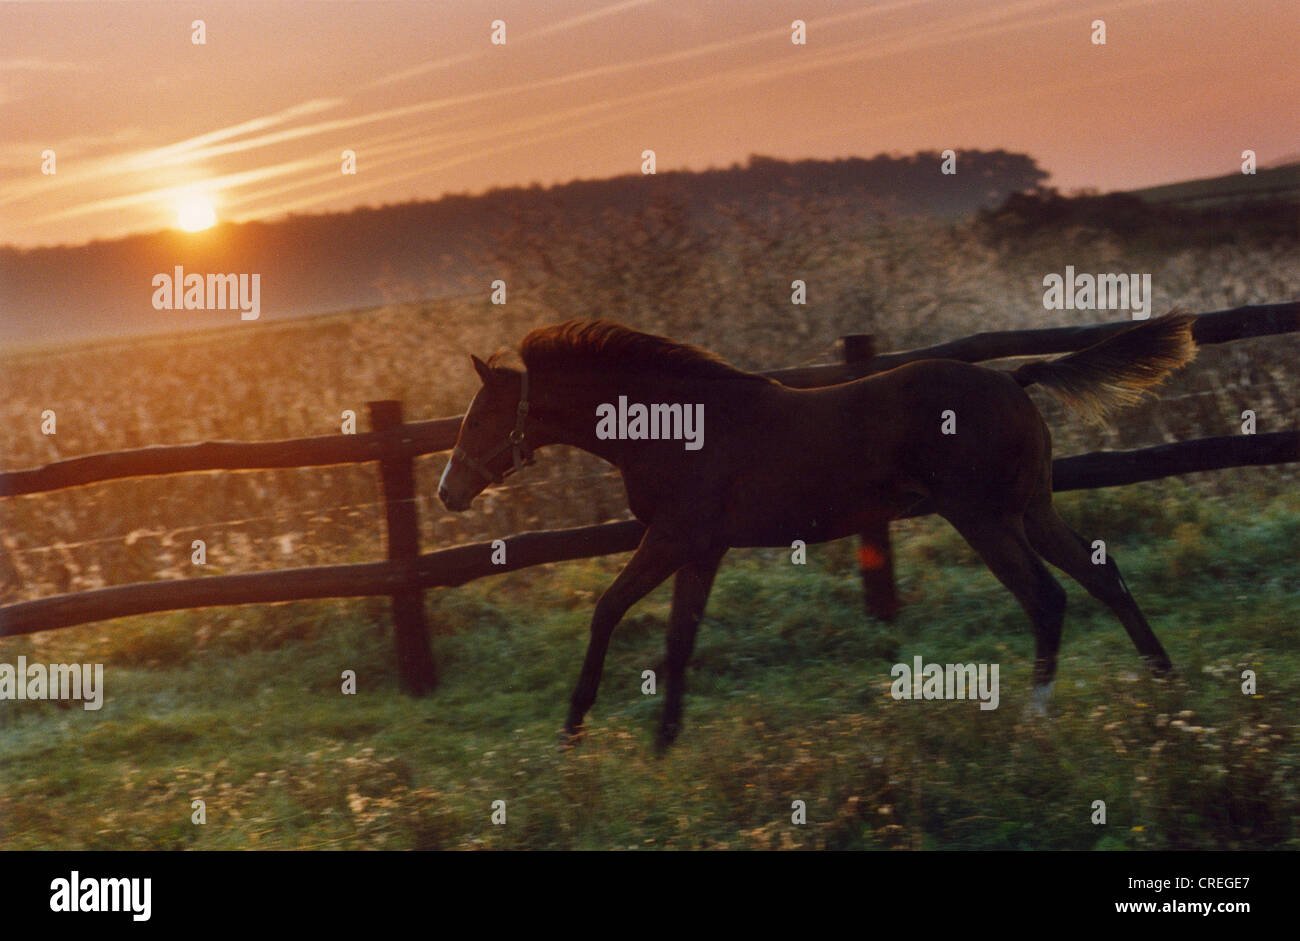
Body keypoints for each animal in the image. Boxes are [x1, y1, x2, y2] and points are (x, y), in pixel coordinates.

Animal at [439, 315, 1196, 748]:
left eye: (480, 417)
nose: (448, 492)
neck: (676, 425)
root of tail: (1016, 381)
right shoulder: (703, 549)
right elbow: (679, 640)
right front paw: (663, 743)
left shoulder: (674, 538)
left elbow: (608, 610)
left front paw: (573, 730)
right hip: (1031, 509)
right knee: (1102, 576)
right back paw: (1166, 692)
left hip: (983, 517)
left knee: (1046, 597)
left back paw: (1037, 721)